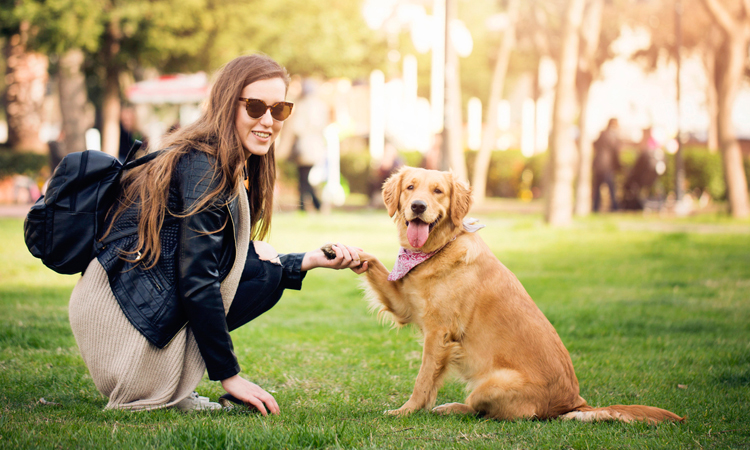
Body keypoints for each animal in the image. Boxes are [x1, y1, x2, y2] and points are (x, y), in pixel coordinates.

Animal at [356, 167, 684, 424]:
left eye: (438, 191)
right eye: (410, 187)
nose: (418, 206)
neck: (440, 247)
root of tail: (576, 402)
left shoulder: (439, 334)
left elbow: (423, 380)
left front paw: (407, 411)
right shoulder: (405, 305)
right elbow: (373, 263)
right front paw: (351, 254)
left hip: (489, 385)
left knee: (491, 412)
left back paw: (451, 408)